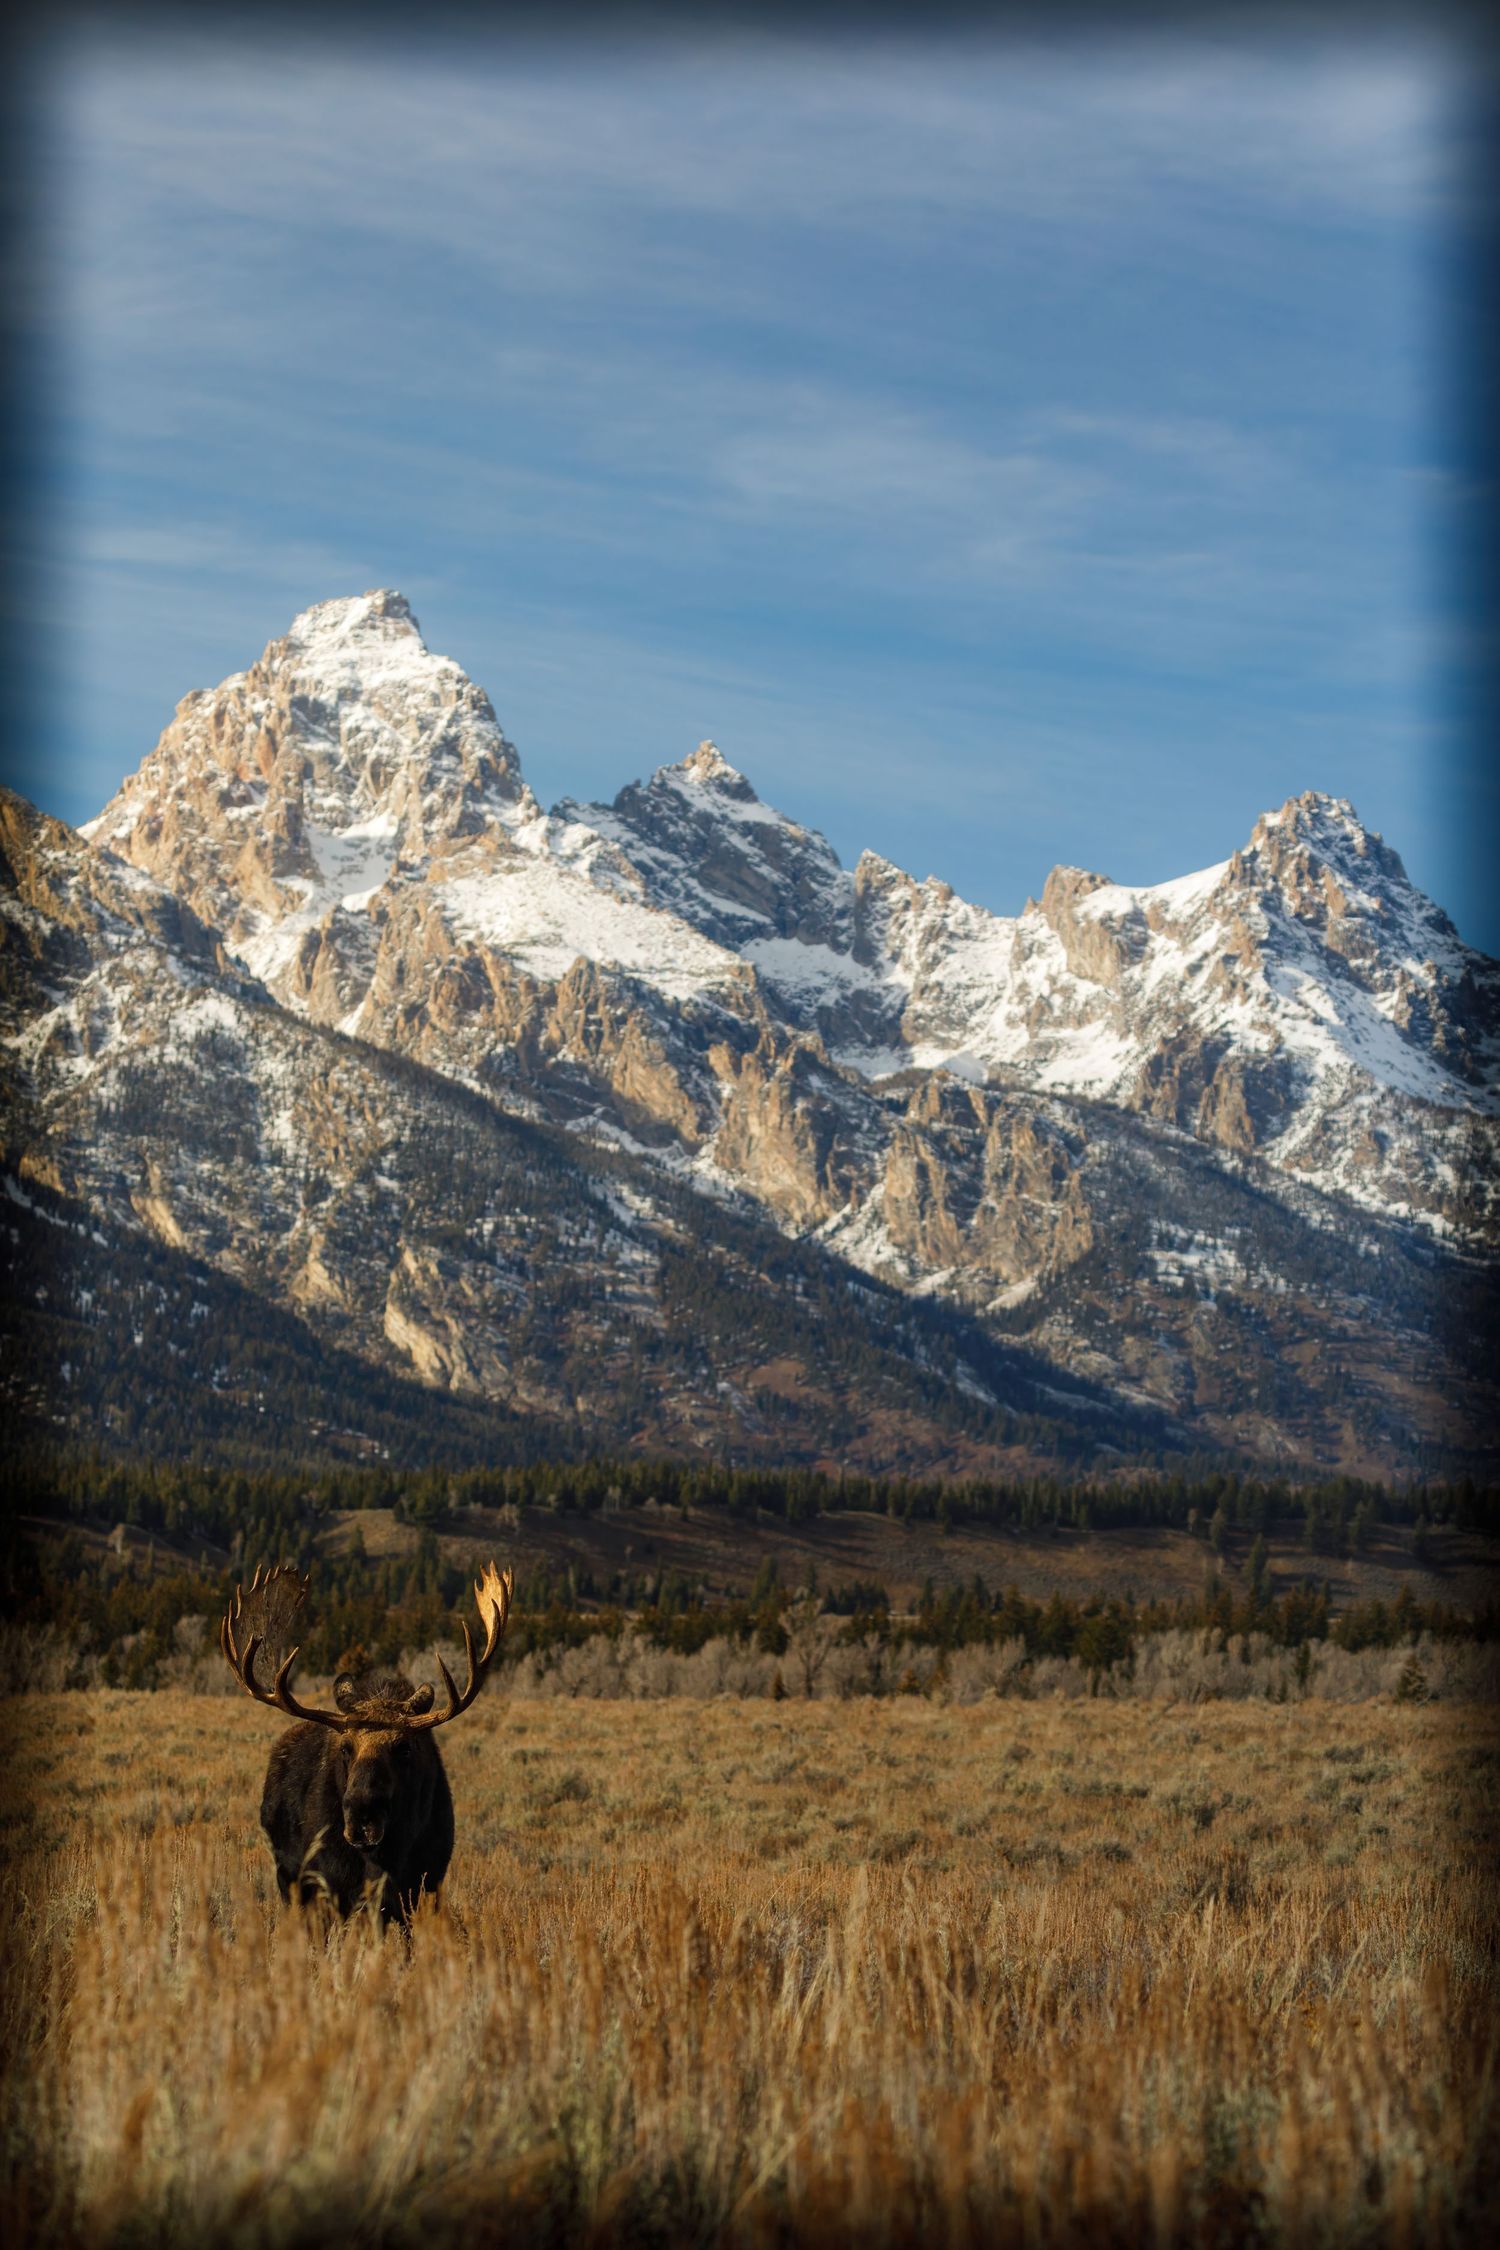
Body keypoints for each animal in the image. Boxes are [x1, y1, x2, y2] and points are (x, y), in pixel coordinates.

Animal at [221, 1558, 513, 1923]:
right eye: (345, 1748)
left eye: (404, 1747)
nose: (362, 1819)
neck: (385, 1858)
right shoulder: (334, 1887)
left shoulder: (423, 1885)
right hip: (290, 1880)